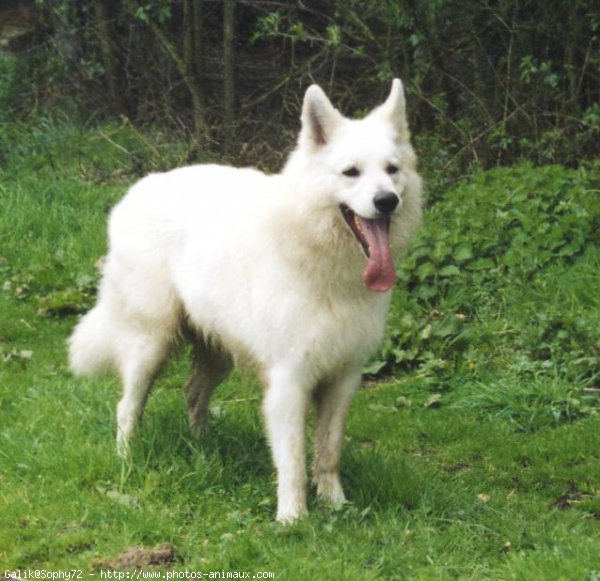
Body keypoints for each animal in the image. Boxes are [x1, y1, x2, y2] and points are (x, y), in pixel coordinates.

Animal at [69, 78, 422, 520]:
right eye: (351, 172)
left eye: (392, 170)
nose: (387, 201)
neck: (319, 258)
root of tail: (137, 190)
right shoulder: (289, 382)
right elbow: (293, 459)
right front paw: (292, 518)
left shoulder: (343, 378)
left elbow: (328, 451)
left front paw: (335, 504)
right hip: (150, 345)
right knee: (127, 408)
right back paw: (127, 461)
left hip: (218, 352)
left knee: (193, 394)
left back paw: (204, 448)